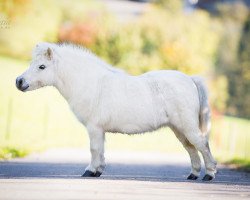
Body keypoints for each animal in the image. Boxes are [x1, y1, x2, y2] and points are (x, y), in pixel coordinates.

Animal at [15, 43, 216, 180]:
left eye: (42, 67)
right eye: (32, 63)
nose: (19, 82)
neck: (89, 83)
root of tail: (190, 79)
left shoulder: (94, 128)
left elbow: (94, 149)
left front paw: (90, 171)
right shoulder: (99, 130)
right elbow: (101, 151)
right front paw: (98, 170)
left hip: (187, 127)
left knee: (202, 145)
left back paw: (209, 174)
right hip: (179, 129)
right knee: (191, 148)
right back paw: (193, 174)